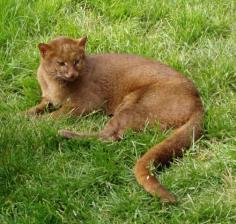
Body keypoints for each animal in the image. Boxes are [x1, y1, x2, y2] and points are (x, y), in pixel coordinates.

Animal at [25, 36, 203, 203]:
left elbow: (54, 116)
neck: (52, 84)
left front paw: (32, 124)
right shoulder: (47, 99)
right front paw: (22, 115)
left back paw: (65, 134)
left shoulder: (86, 104)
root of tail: (198, 102)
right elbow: (36, 109)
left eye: (77, 61)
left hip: (133, 104)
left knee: (110, 135)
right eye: (61, 63)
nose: (72, 74)